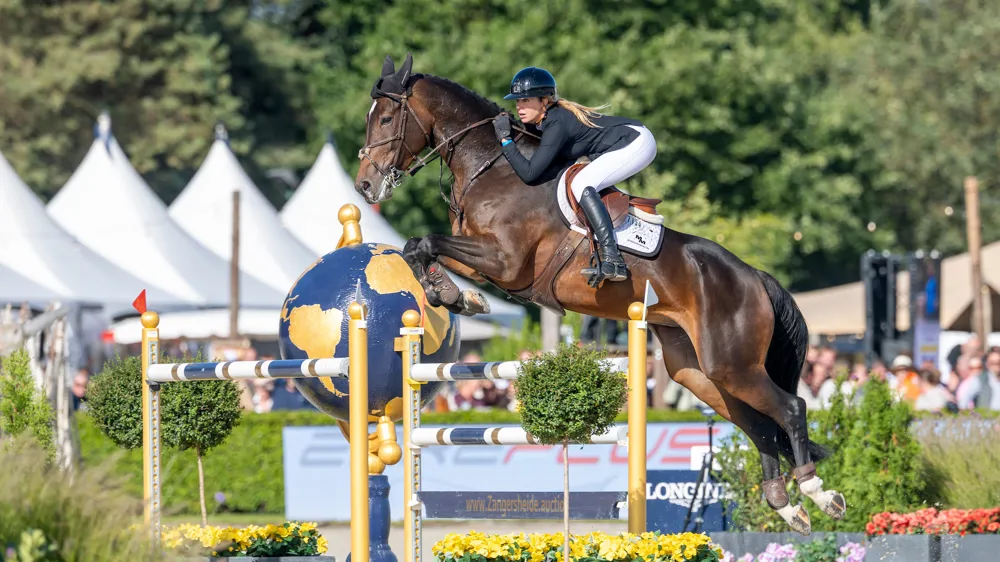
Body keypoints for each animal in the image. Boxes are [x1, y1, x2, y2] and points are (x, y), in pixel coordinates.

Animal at [353, 53, 846, 535]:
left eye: (387, 117)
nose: (364, 186)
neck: (494, 169)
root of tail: (754, 276)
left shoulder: (505, 261)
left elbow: (425, 243)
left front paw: (452, 296)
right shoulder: (484, 260)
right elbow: (418, 247)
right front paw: (454, 296)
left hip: (732, 363)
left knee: (791, 408)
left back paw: (819, 494)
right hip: (698, 372)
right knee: (759, 424)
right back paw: (786, 507)